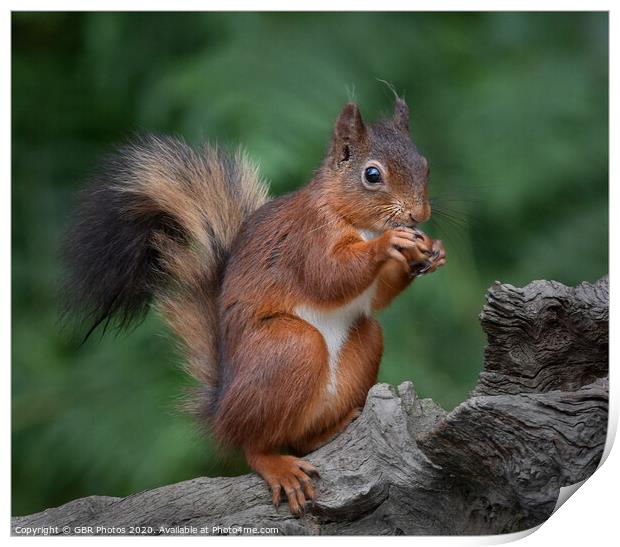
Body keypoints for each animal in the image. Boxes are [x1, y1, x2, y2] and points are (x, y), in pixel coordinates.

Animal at [63, 97, 446, 520]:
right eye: (372, 174)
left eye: (426, 165)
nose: (418, 215)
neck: (356, 220)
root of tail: (221, 414)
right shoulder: (304, 239)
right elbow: (329, 275)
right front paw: (391, 244)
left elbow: (377, 297)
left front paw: (431, 250)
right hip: (286, 346)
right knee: (254, 444)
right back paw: (276, 464)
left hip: (363, 342)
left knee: (305, 434)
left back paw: (337, 425)